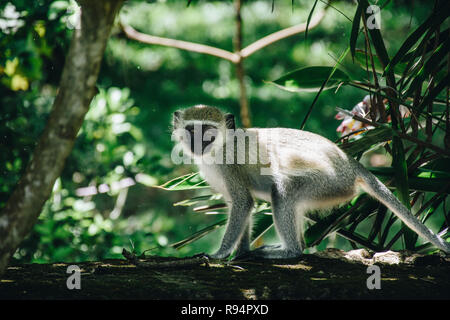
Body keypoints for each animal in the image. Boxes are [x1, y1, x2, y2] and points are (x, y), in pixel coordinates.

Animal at [171, 105, 450, 260]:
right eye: (192, 129)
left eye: (208, 130)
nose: (198, 142)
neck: (220, 148)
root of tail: (349, 163)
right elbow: (240, 206)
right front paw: (241, 251)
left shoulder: (230, 167)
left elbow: (243, 203)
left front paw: (219, 254)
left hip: (329, 182)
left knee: (282, 191)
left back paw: (291, 251)